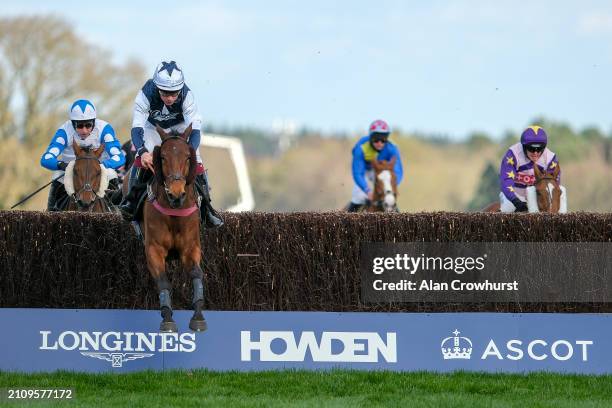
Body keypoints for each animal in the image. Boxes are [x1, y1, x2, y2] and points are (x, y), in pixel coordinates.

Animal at [145, 123, 207, 332]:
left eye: (188, 157)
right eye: (162, 157)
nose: (176, 194)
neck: (174, 210)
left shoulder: (190, 247)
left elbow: (196, 274)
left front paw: (198, 316)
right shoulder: (154, 249)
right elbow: (163, 281)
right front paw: (167, 318)